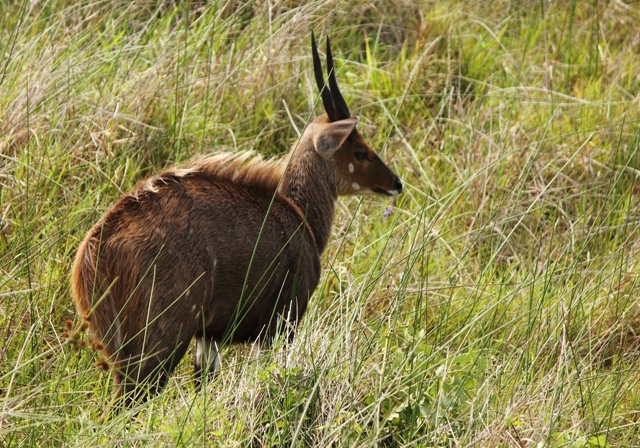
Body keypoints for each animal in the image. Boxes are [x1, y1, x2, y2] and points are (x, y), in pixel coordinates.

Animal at [70, 33, 400, 408]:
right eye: (360, 151)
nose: (396, 183)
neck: (298, 216)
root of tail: (94, 251)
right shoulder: (280, 325)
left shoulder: (210, 336)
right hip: (157, 346)